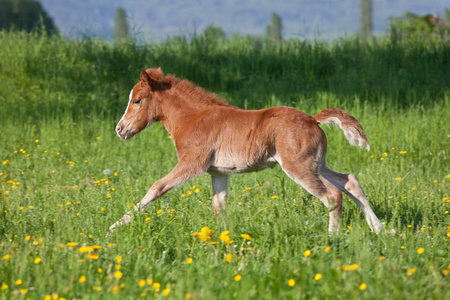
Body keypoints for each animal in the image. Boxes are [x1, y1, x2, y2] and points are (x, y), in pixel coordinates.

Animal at [106, 68, 384, 237]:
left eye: (138, 100)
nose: (120, 129)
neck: (192, 118)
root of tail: (312, 119)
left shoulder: (192, 163)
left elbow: (157, 187)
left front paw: (114, 227)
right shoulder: (218, 172)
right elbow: (219, 205)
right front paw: (223, 238)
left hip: (299, 166)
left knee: (333, 195)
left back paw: (332, 238)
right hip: (317, 164)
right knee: (350, 181)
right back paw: (380, 229)